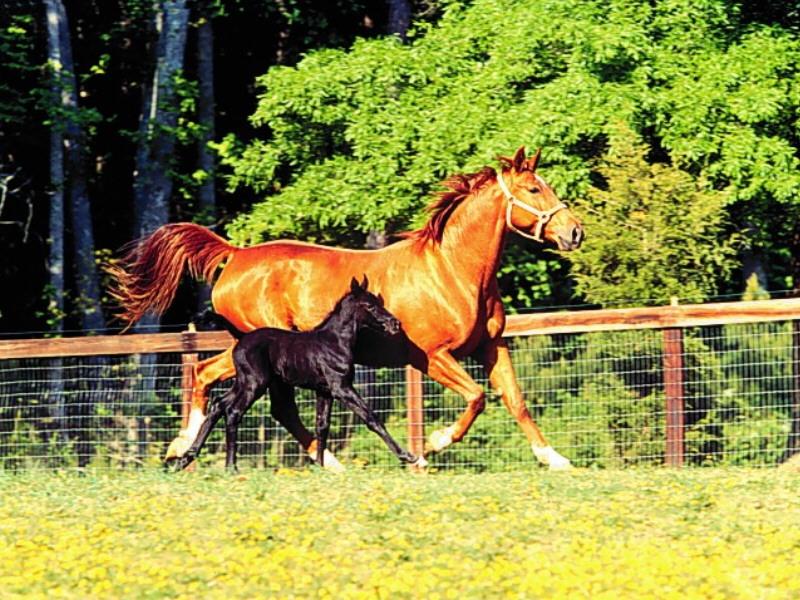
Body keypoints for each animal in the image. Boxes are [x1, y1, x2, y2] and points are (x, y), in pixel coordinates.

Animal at [174, 278, 424, 474]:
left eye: (379, 302)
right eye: (368, 305)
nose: (395, 323)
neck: (335, 342)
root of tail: (241, 338)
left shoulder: (325, 392)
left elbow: (322, 426)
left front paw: (320, 468)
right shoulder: (341, 388)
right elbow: (371, 417)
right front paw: (408, 456)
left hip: (243, 382)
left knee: (218, 404)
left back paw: (185, 458)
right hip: (255, 383)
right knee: (233, 411)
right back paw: (230, 467)